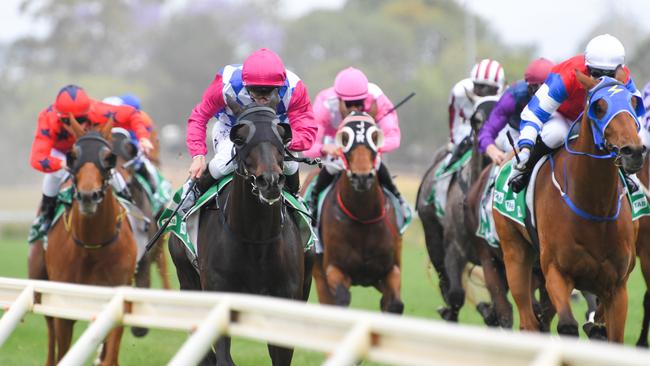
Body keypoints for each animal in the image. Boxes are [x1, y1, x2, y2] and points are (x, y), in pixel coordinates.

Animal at [44, 116, 137, 364]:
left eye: (107, 157)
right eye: (73, 156)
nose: (88, 195)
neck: (93, 247)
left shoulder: (117, 300)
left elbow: (110, 356)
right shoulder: (64, 306)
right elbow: (63, 352)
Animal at [166, 95, 310, 366]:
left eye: (282, 134)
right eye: (239, 137)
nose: (270, 181)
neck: (256, 238)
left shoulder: (286, 299)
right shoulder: (218, 297)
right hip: (186, 278)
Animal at [306, 113, 402, 314]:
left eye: (374, 137)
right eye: (344, 139)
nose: (362, 177)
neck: (363, 216)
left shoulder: (391, 270)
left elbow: (394, 304)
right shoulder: (334, 269)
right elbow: (341, 299)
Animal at [494, 70, 640, 342]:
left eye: (634, 103)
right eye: (599, 107)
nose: (633, 151)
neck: (595, 208)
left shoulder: (618, 286)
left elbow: (610, 333)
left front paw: (596, 325)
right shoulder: (556, 271)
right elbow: (568, 326)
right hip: (514, 252)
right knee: (529, 321)